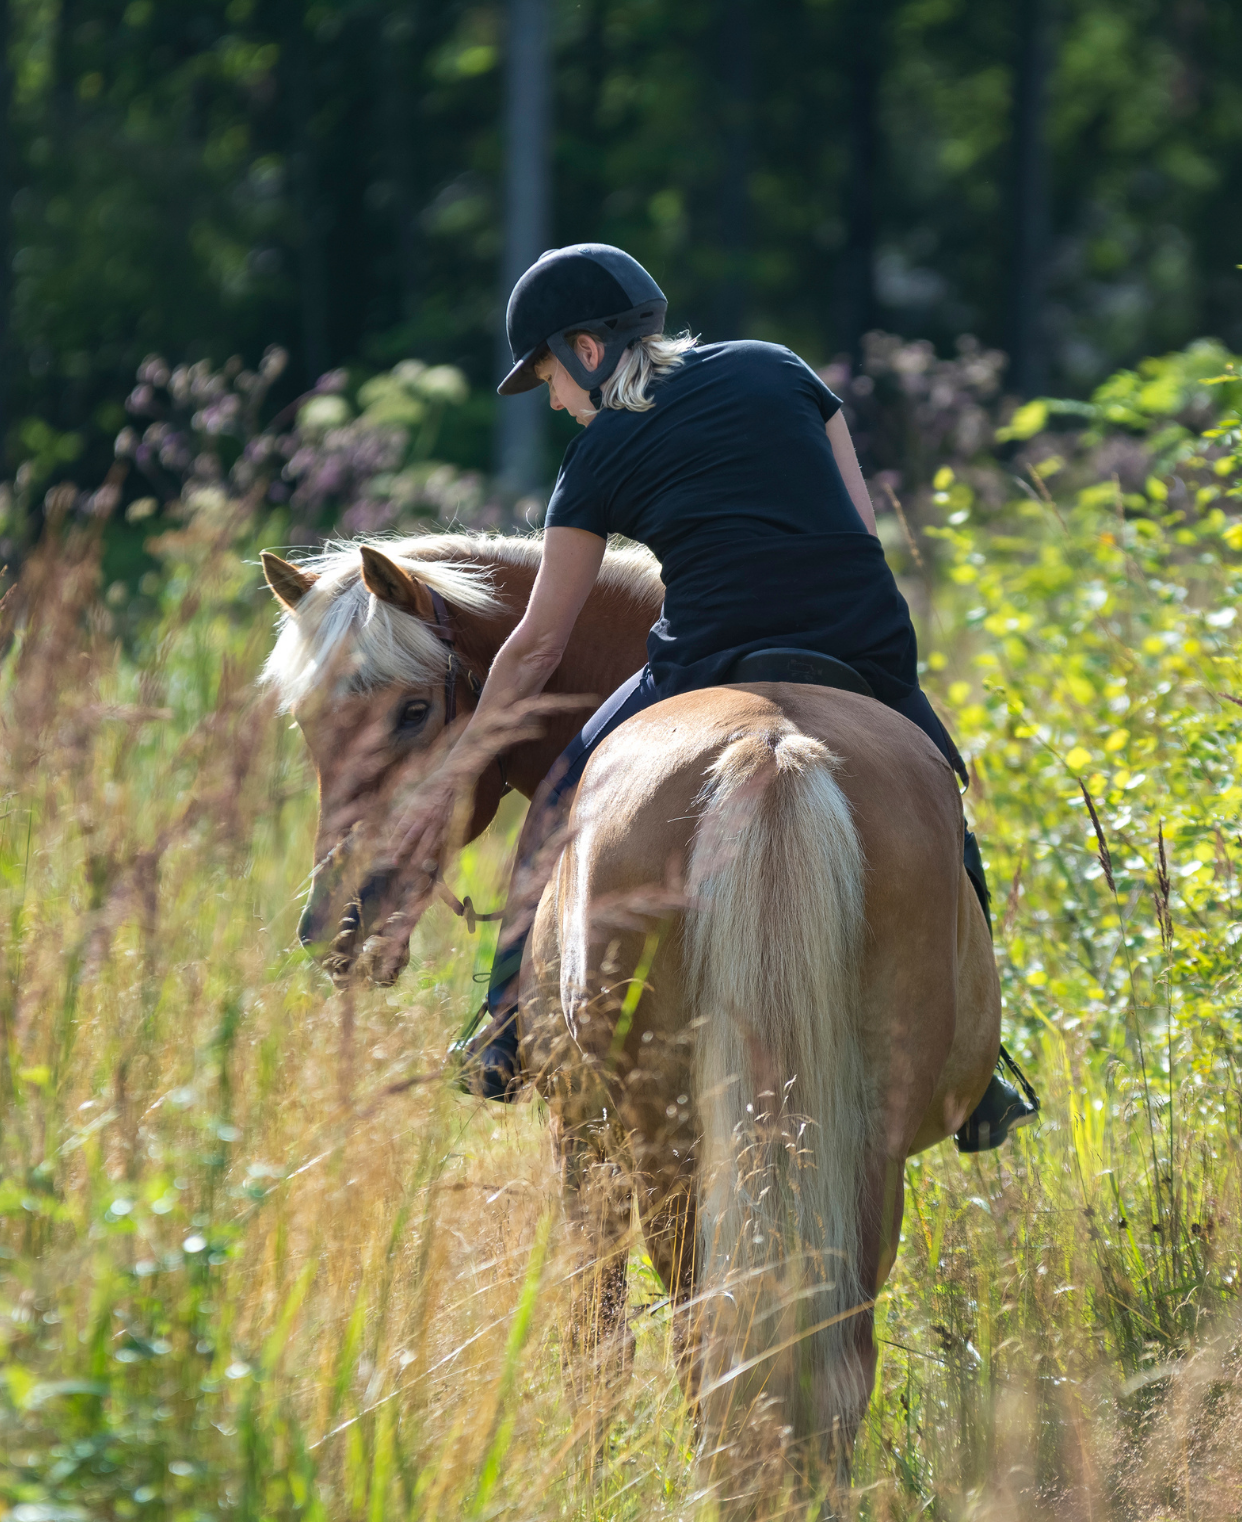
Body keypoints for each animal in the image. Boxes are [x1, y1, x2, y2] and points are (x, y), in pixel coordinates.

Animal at [259, 531, 1001, 1513]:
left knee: (700, 1340)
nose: (336, 924)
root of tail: (769, 750)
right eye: (307, 724)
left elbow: (594, 1343)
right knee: (829, 1350)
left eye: (413, 711)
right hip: (855, 1146)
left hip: (666, 1148)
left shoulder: (579, 1135)